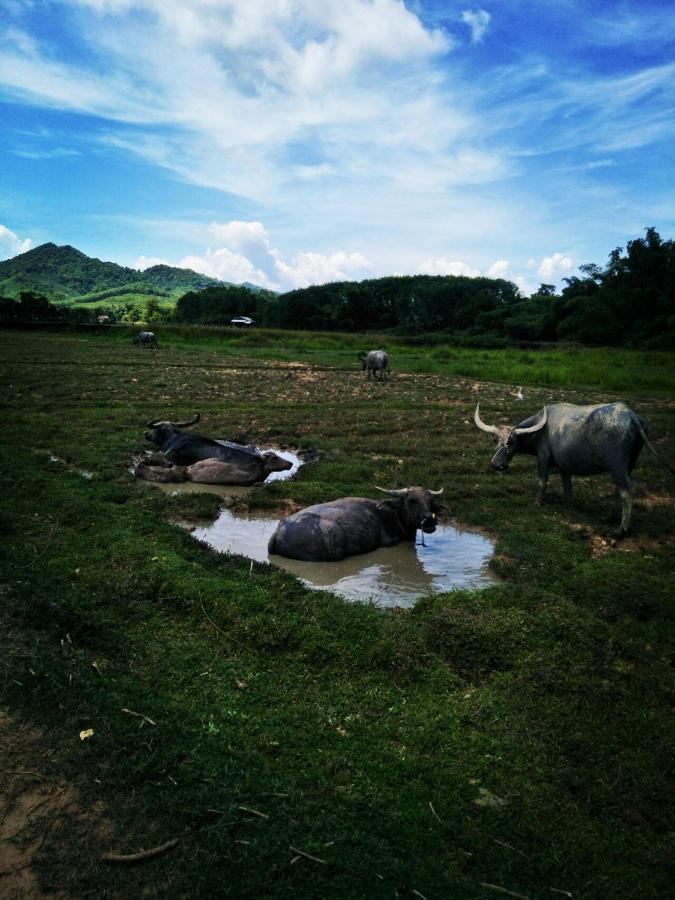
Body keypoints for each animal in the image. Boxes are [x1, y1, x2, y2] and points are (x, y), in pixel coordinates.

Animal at [476, 400, 672, 536]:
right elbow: (567, 486)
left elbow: (542, 481)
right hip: (629, 464)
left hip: (617, 465)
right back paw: (609, 518)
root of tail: (632, 417)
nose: (497, 464)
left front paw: (537, 503)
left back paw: (621, 529)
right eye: (496, 440)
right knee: (619, 489)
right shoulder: (565, 466)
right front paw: (569, 504)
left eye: (511, 442)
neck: (540, 430)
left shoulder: (543, 457)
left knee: (626, 491)